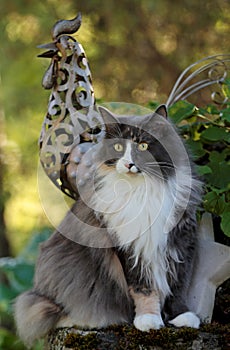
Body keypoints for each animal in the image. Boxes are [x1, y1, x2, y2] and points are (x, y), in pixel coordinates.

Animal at [14, 105, 202, 346]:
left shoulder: (180, 241)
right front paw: (148, 320)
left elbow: (178, 285)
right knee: (49, 312)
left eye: (143, 145)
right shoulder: (129, 246)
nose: (129, 164)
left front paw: (182, 316)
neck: (142, 189)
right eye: (119, 147)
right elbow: (143, 288)